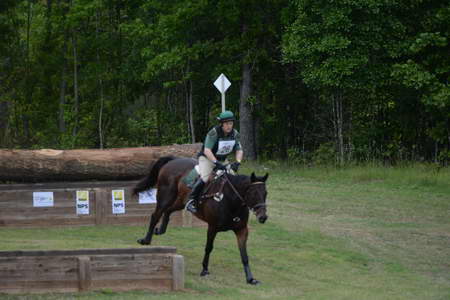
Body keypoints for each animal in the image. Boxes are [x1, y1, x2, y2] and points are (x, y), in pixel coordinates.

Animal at [132, 156, 268, 284]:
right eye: (253, 193)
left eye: (265, 193)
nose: (263, 217)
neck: (231, 201)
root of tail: (174, 160)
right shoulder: (212, 227)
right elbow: (209, 248)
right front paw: (204, 270)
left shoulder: (242, 230)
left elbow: (244, 254)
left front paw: (250, 278)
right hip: (165, 196)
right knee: (156, 215)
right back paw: (146, 240)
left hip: (181, 201)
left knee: (169, 210)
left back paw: (160, 230)